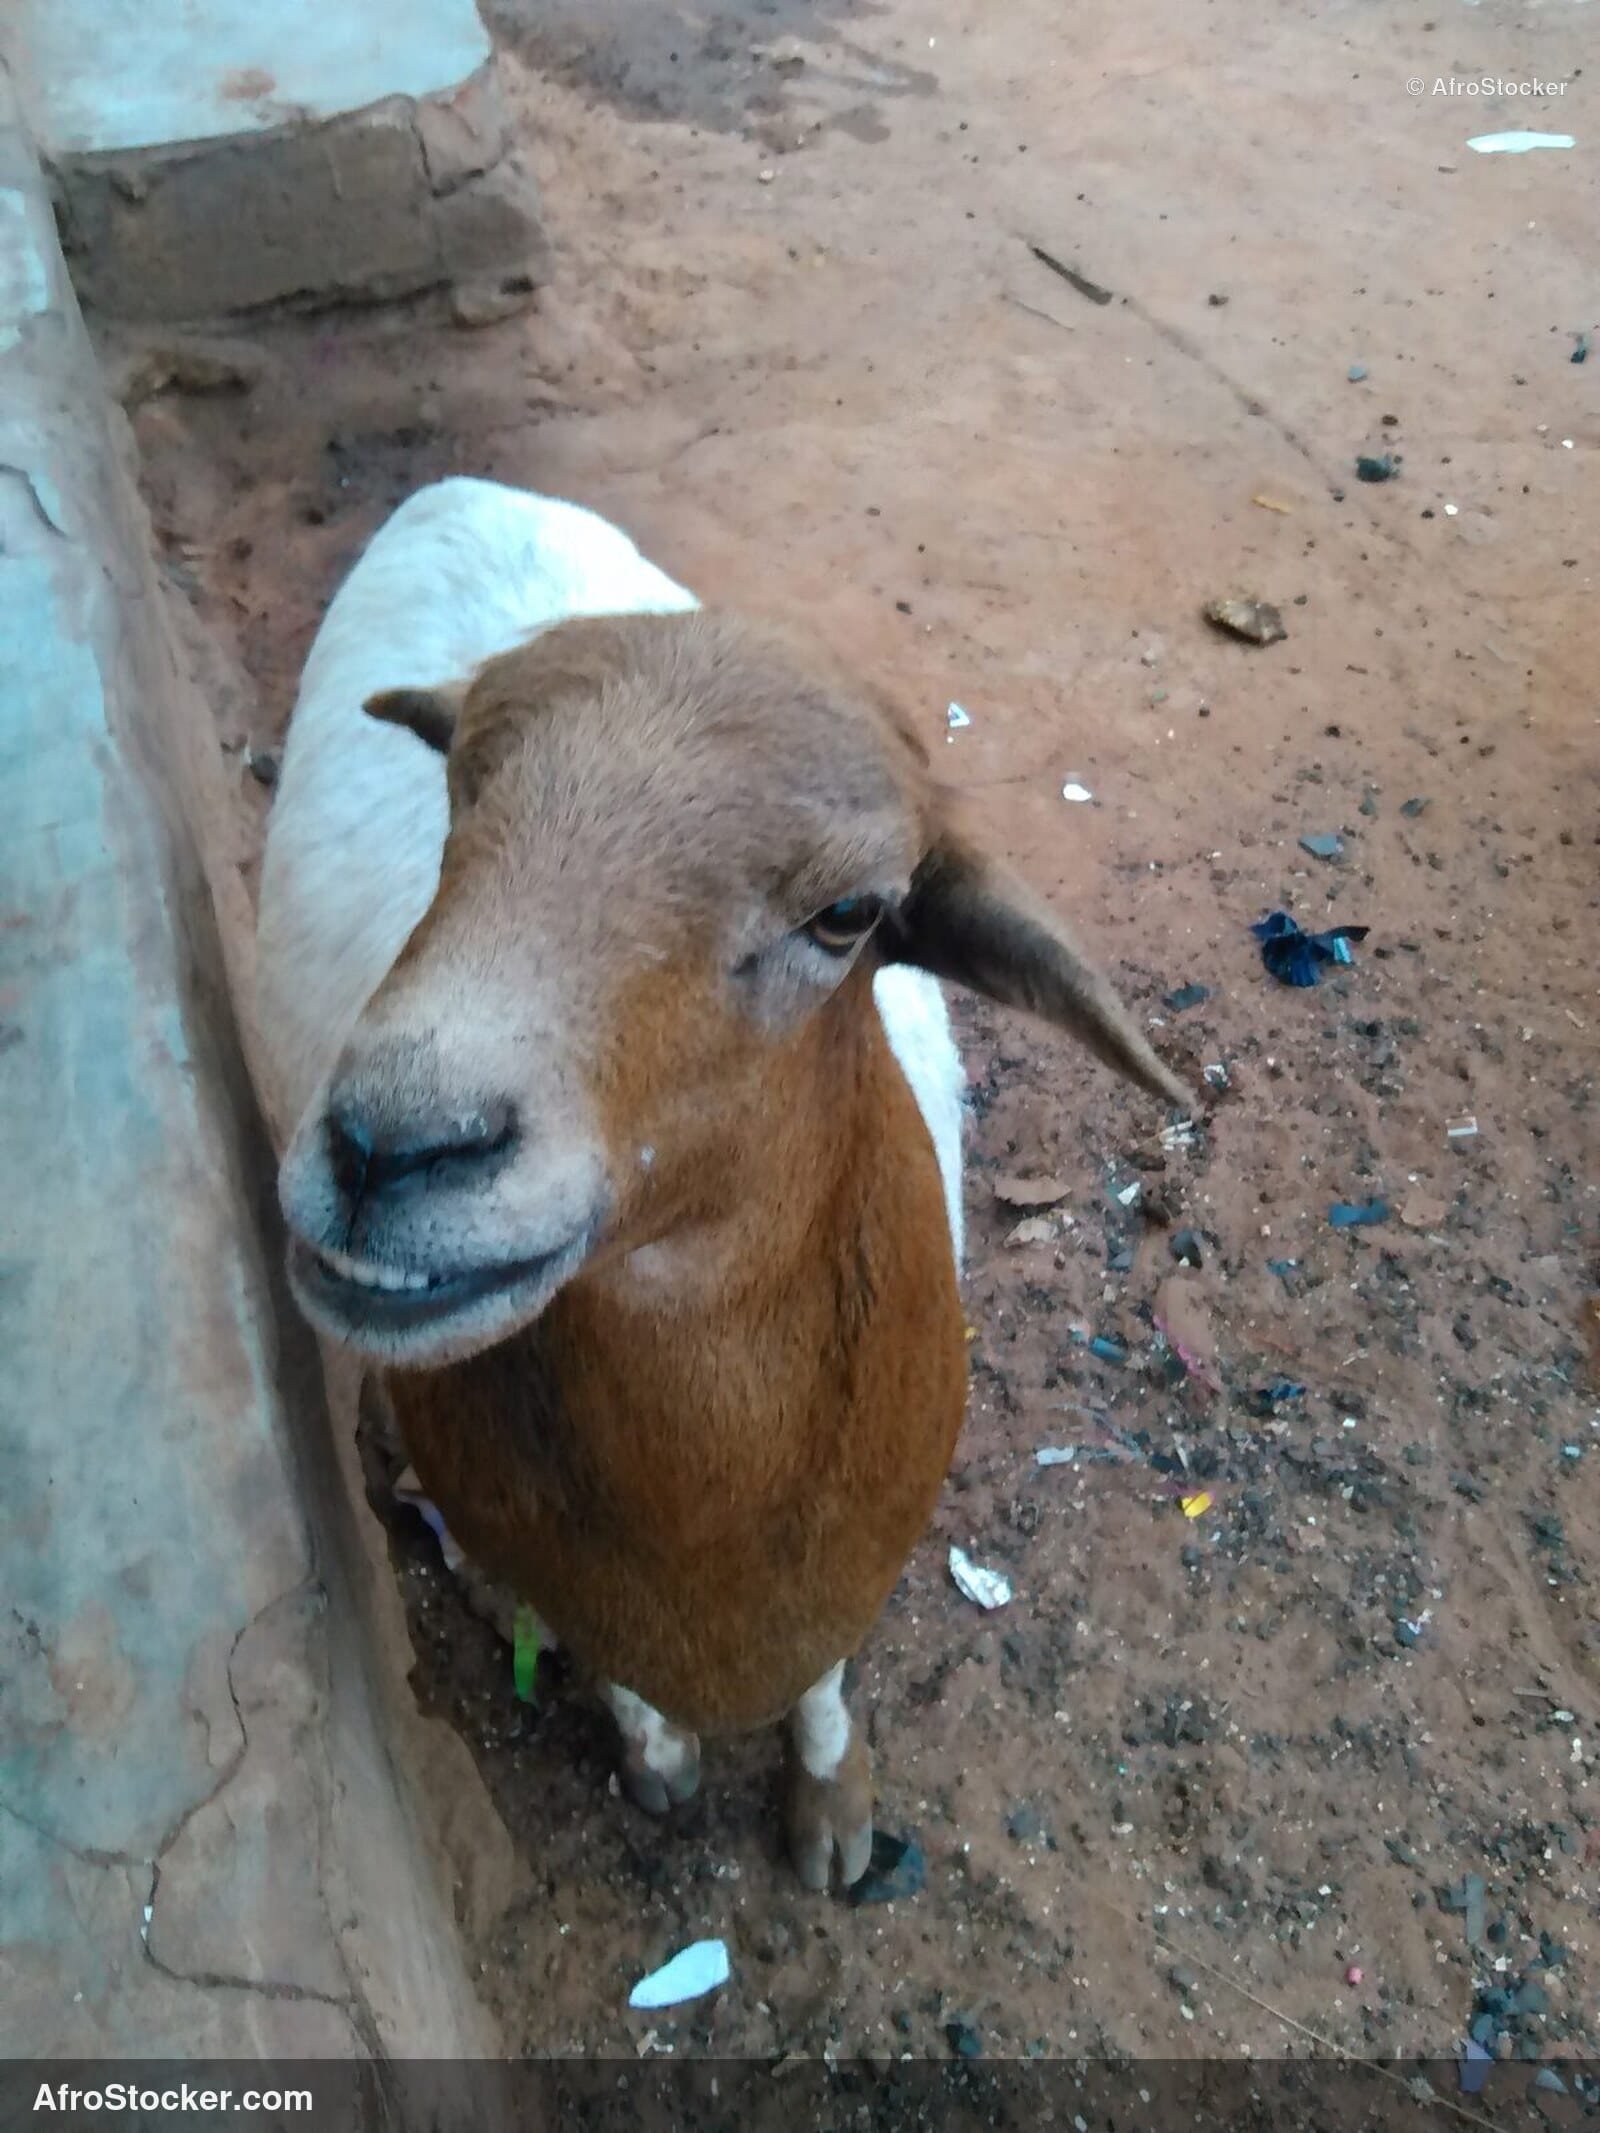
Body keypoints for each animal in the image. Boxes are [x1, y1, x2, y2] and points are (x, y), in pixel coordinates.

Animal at [256, 476, 1187, 1889]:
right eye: (458, 798)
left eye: (850, 914)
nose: (388, 1147)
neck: (712, 1507)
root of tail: (463, 485)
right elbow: (616, 1671)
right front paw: (656, 1758)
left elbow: (826, 1686)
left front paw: (830, 1805)